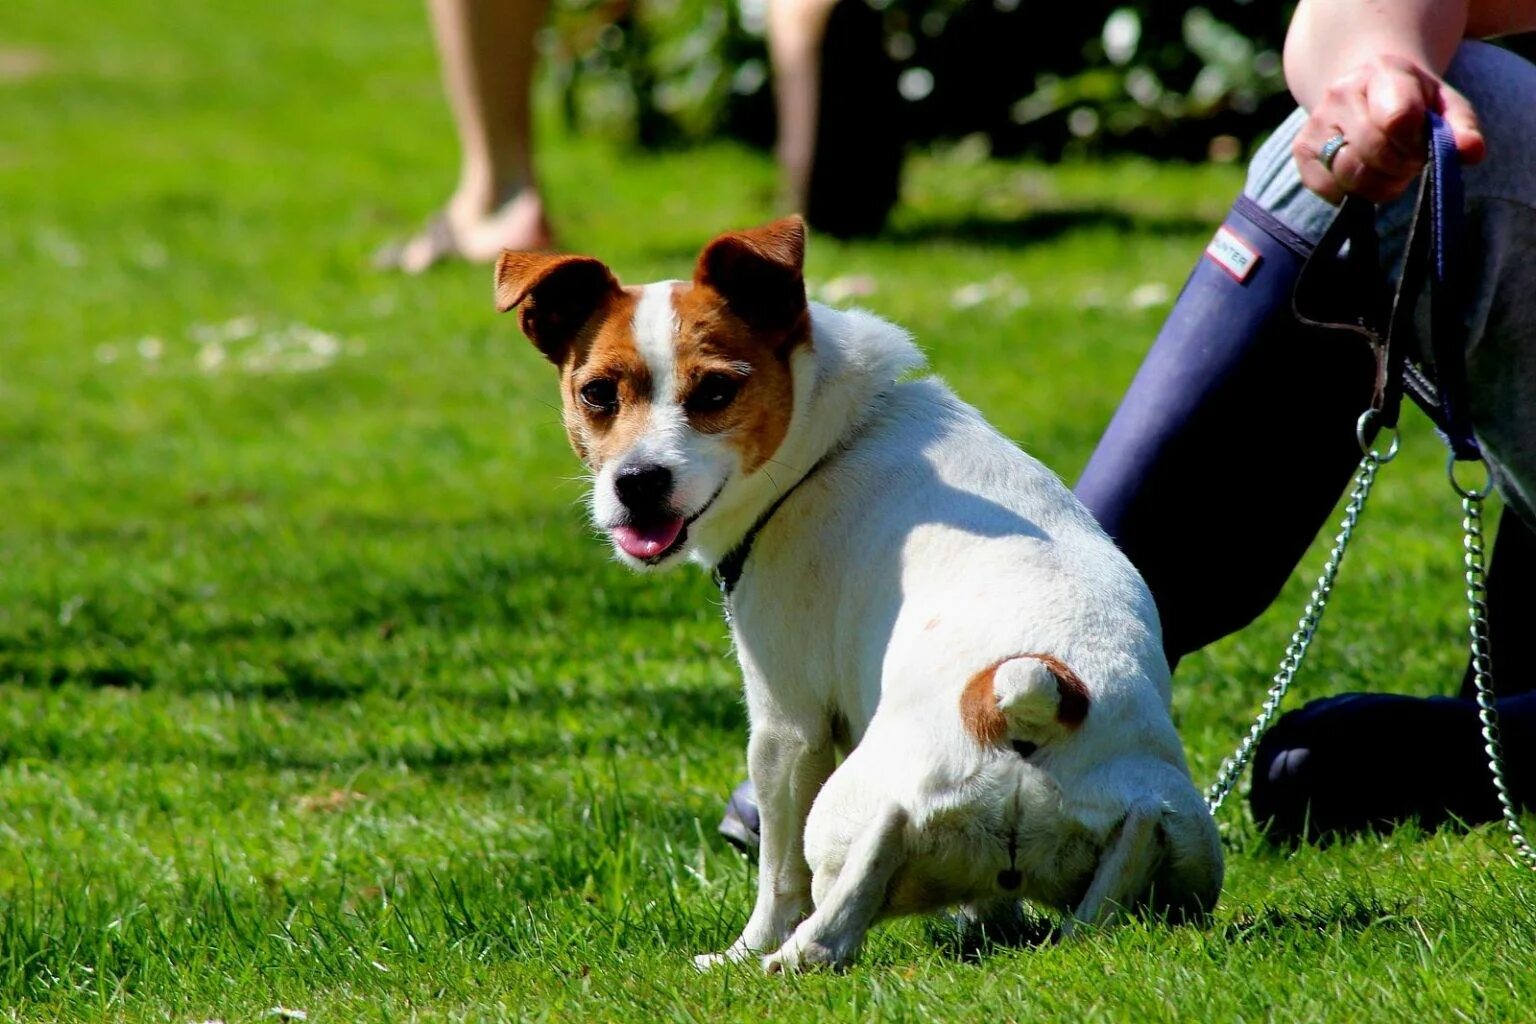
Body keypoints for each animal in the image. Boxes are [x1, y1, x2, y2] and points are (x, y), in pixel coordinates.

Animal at [497, 218, 1216, 976]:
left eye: (717, 391)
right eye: (597, 393)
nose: (638, 482)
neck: (828, 443)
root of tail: (1031, 695)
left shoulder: (788, 726)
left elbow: (777, 874)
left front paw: (745, 947)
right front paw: (990, 927)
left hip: (841, 811)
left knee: (840, 894)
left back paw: (782, 958)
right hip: (1183, 842)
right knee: (1101, 908)